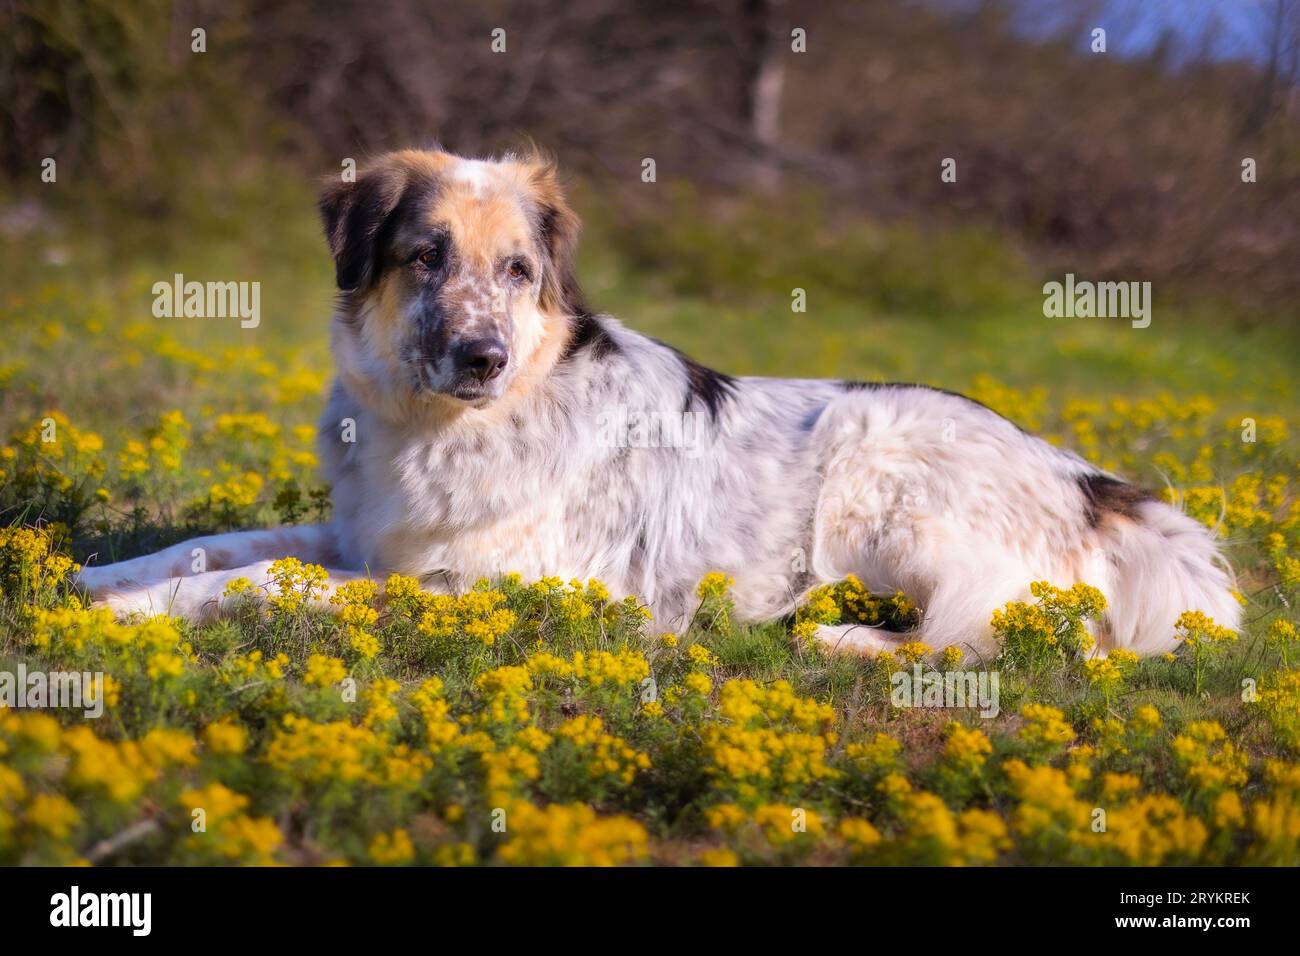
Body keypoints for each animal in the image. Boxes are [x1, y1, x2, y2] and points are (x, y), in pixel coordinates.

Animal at [78, 147, 1237, 658]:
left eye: (517, 271)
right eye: (424, 257)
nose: (482, 356)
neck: (453, 424)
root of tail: (1095, 486)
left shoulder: (487, 583)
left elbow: (262, 579)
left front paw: (132, 611)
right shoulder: (367, 537)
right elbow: (216, 545)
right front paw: (93, 578)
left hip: (879, 472)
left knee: (993, 638)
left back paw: (834, 636)